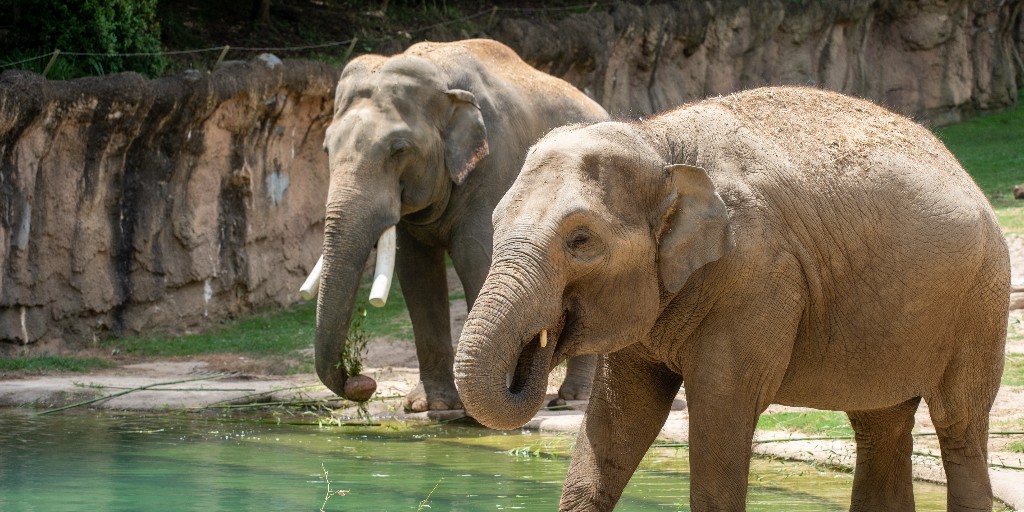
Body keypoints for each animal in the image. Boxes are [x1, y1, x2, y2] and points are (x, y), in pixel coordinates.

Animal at [314, 39, 606, 412]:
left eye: (399, 149)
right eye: (326, 148)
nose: (363, 382)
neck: (441, 78)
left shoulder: (493, 166)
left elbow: (475, 258)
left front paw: (483, 406)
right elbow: (416, 272)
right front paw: (431, 406)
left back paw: (570, 399)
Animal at [454, 86, 1010, 510]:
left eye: (581, 240)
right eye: (496, 222)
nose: (537, 345)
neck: (658, 142)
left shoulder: (759, 276)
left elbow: (721, 405)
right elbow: (620, 414)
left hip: (982, 300)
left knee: (958, 424)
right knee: (880, 425)